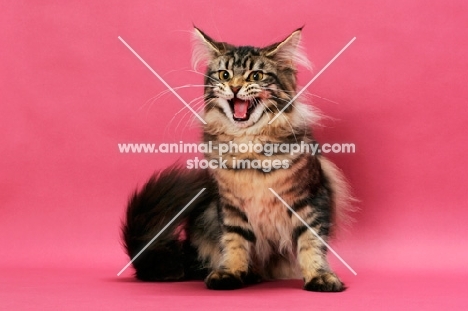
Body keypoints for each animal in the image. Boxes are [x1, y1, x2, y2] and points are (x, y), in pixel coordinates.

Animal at [122, 27, 352, 292]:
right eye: (224, 74)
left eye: (256, 76)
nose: (233, 87)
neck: (249, 144)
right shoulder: (231, 205)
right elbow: (234, 241)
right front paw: (230, 272)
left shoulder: (310, 198)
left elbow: (311, 243)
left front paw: (320, 277)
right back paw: (249, 274)